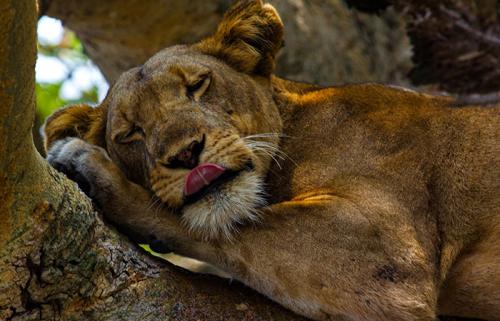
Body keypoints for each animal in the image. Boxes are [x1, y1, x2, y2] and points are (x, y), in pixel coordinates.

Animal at [44, 1, 500, 318]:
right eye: (130, 133)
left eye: (198, 85)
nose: (186, 152)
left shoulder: (385, 254)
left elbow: (220, 227)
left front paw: (87, 165)